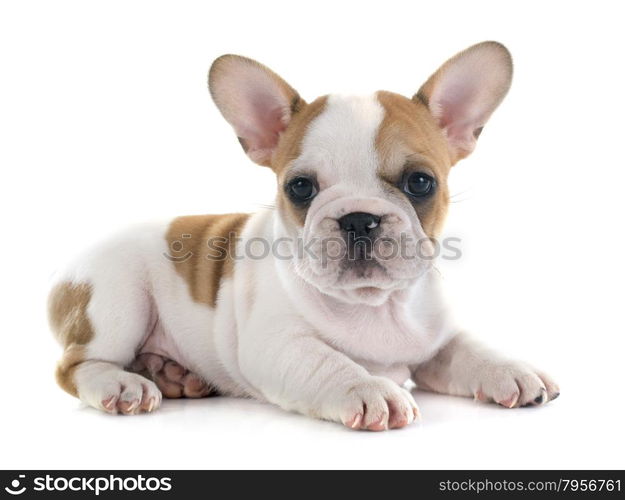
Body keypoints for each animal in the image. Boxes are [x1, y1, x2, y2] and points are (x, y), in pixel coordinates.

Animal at [47, 42, 556, 430]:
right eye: (300, 188)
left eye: (420, 182)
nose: (359, 218)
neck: (374, 304)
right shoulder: (277, 346)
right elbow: (326, 361)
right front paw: (368, 386)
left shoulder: (435, 340)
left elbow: (468, 348)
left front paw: (510, 369)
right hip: (117, 300)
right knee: (76, 365)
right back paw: (123, 383)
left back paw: (172, 374)